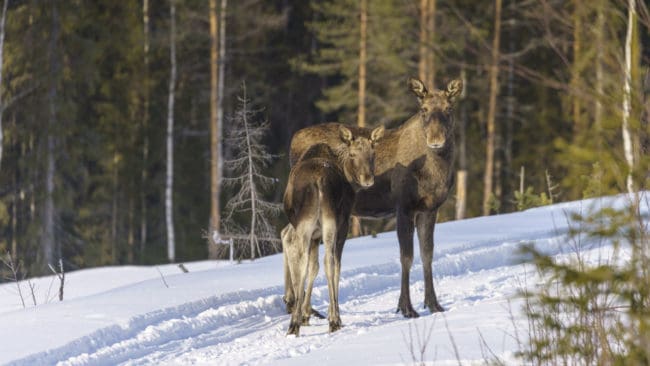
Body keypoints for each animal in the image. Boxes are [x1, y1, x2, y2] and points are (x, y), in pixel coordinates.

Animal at [280, 124, 382, 336]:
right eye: (353, 154)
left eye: (373, 153)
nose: (368, 179)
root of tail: (318, 181)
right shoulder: (343, 224)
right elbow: (335, 266)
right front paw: (326, 313)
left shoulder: (313, 235)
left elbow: (312, 267)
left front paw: (304, 313)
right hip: (331, 223)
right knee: (330, 262)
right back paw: (334, 319)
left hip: (305, 225)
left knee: (297, 254)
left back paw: (293, 319)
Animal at [288, 77, 460, 318]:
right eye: (424, 110)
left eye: (448, 108)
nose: (436, 140)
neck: (436, 170)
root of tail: (292, 140)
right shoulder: (404, 207)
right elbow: (406, 256)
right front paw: (406, 307)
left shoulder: (429, 208)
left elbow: (428, 254)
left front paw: (433, 304)